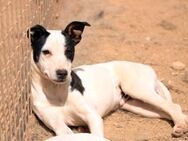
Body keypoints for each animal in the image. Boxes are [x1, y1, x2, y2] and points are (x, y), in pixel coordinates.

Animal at [27, 20, 187, 140]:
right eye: (46, 52)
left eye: (69, 51)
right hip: (139, 107)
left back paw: (179, 126)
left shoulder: (93, 116)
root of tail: (146, 67)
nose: (62, 73)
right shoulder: (57, 124)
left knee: (173, 106)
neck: (56, 92)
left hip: (138, 89)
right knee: (169, 110)